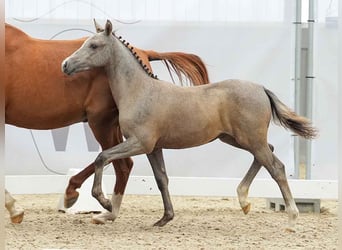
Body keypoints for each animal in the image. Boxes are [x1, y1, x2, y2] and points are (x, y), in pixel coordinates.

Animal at [4, 23, 208, 223]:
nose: (65, 65)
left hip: (101, 122)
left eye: (94, 46)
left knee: (121, 164)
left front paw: (15, 210)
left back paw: (101, 205)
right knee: (118, 160)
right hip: (113, 125)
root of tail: (143, 52)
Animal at [62, 20, 318, 231]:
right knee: (268, 155)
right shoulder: (154, 148)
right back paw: (244, 200)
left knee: (277, 168)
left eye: (94, 45)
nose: (65, 65)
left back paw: (291, 220)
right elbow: (161, 179)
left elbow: (102, 157)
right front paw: (164, 218)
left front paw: (104, 202)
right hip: (237, 139)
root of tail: (261, 89)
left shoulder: (140, 143)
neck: (140, 91)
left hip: (250, 140)